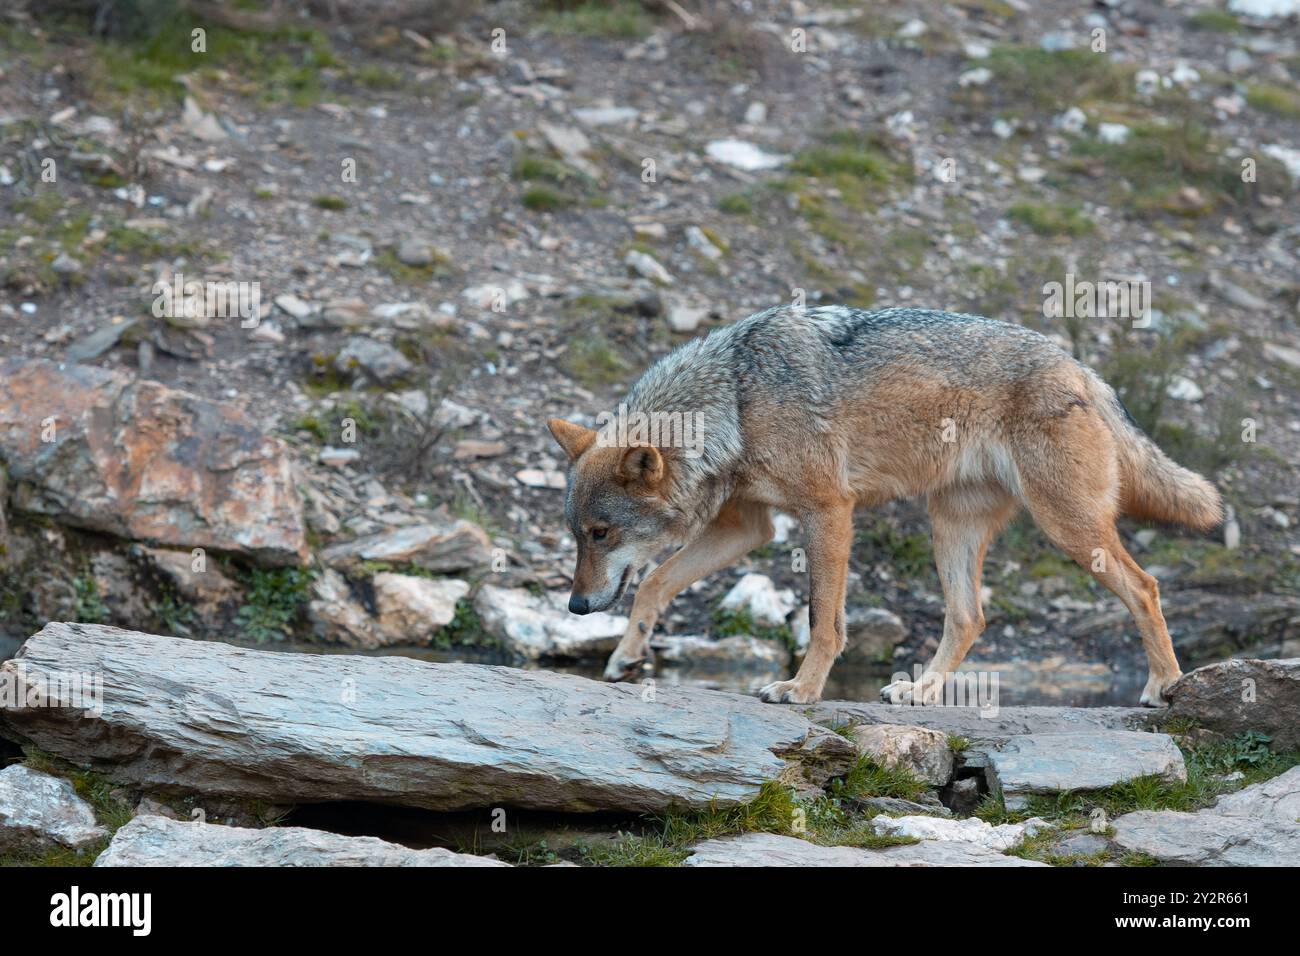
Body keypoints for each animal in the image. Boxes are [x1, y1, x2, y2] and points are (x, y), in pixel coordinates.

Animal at [546, 303, 1216, 707]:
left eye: (601, 534)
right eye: (578, 534)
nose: (575, 607)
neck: (736, 398)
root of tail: (1081, 368)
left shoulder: (828, 511)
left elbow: (823, 620)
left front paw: (801, 690)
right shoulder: (749, 527)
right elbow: (655, 583)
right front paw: (626, 656)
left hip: (1067, 528)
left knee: (1146, 586)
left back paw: (1164, 685)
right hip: (950, 527)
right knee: (970, 617)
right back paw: (920, 694)